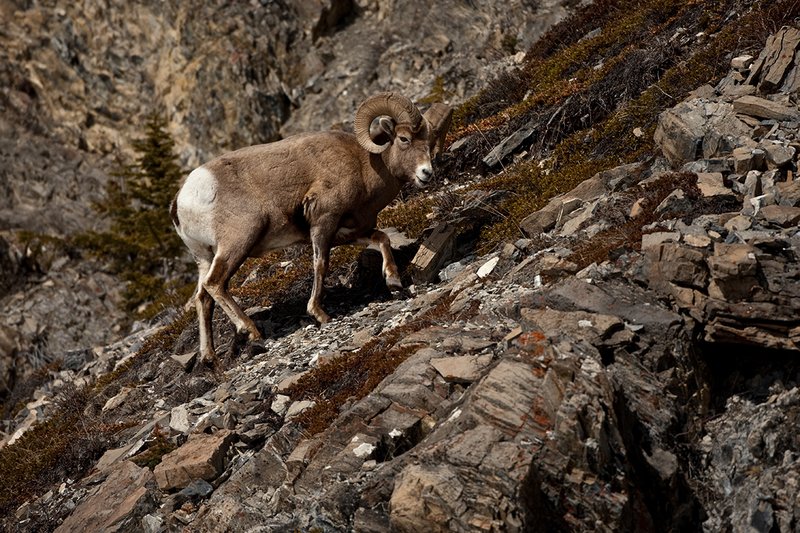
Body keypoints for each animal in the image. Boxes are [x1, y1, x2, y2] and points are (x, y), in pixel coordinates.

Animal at [171, 92, 453, 363]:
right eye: (404, 139)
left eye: (430, 143)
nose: (426, 173)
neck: (364, 165)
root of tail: (182, 200)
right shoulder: (322, 223)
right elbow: (320, 264)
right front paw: (320, 314)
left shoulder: (351, 232)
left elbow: (383, 239)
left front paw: (393, 282)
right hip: (238, 242)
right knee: (215, 284)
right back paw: (249, 331)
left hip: (206, 256)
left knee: (202, 297)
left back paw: (209, 358)